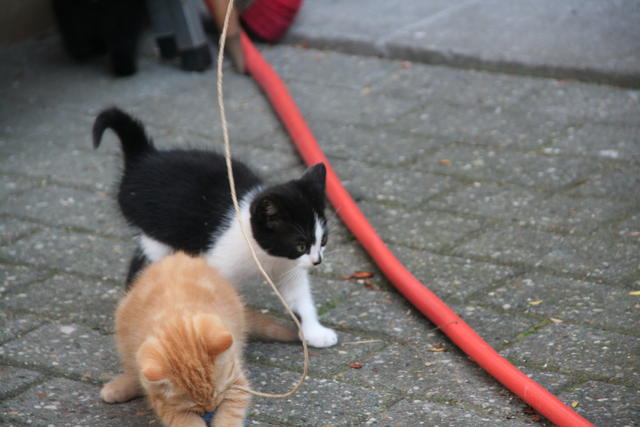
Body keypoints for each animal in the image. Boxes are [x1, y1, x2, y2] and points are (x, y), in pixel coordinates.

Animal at [92, 107, 338, 348]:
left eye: (323, 240)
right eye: (300, 244)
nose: (318, 261)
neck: (265, 255)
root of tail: (144, 157)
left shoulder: (288, 268)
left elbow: (300, 297)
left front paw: (315, 332)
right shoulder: (221, 262)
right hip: (156, 235)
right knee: (144, 263)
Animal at [101, 251, 298, 426]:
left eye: (218, 394)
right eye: (195, 404)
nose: (210, 408)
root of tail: (176, 257)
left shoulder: (236, 384)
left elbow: (229, 416)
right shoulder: (166, 403)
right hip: (125, 336)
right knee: (133, 370)